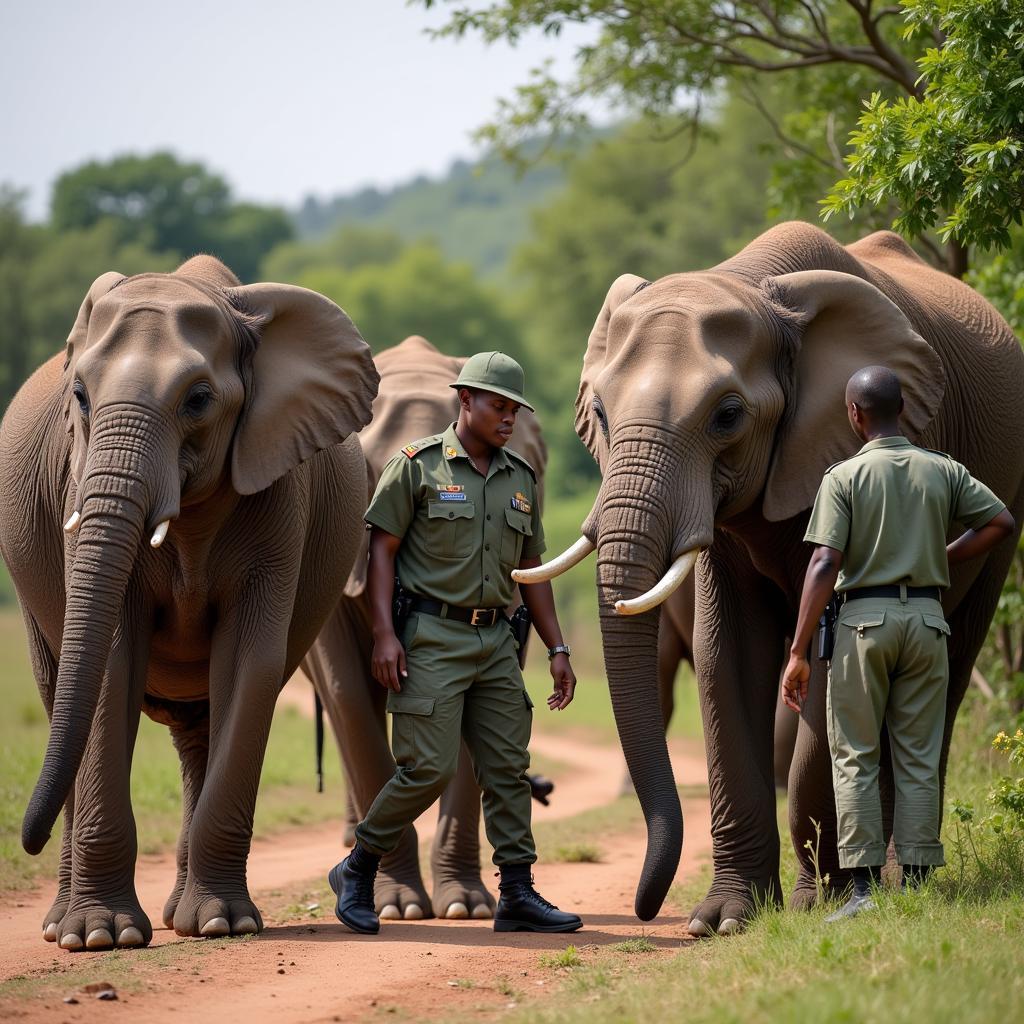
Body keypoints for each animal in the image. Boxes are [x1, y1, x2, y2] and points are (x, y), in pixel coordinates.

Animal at [0, 256, 380, 950]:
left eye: (198, 400)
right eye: (79, 396)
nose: (25, 839)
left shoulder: (281, 490)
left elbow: (250, 662)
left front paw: (225, 926)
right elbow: (109, 662)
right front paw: (102, 937)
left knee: (201, 723)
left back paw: (191, 918)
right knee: (58, 687)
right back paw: (63, 927)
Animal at [520, 224, 1024, 937]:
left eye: (727, 416)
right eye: (600, 410)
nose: (646, 909)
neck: (753, 287)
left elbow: (828, 665)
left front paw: (821, 904)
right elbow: (725, 657)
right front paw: (724, 920)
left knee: (946, 674)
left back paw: (900, 882)